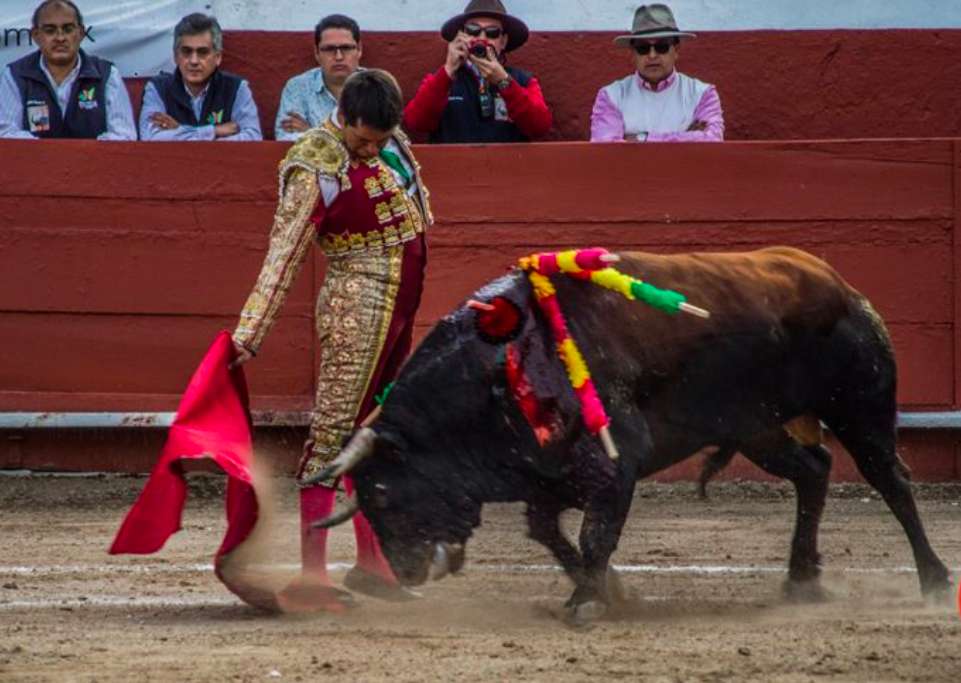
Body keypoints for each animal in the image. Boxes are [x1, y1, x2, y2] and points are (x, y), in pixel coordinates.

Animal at [310, 248, 952, 624]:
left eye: (384, 493)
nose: (405, 573)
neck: (502, 364)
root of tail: (841, 284)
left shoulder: (615, 463)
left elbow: (596, 534)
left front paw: (585, 603)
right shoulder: (549, 474)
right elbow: (551, 533)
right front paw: (607, 592)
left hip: (859, 408)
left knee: (891, 481)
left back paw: (936, 581)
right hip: (757, 428)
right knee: (814, 471)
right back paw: (800, 579)